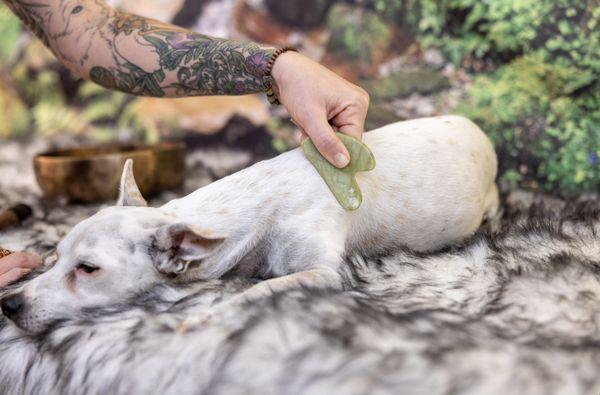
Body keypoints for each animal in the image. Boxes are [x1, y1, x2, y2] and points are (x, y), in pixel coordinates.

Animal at [1, 115, 496, 334]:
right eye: (54, 257)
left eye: (88, 270)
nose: (9, 304)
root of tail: (479, 130)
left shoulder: (322, 273)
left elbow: (257, 291)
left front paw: (203, 317)